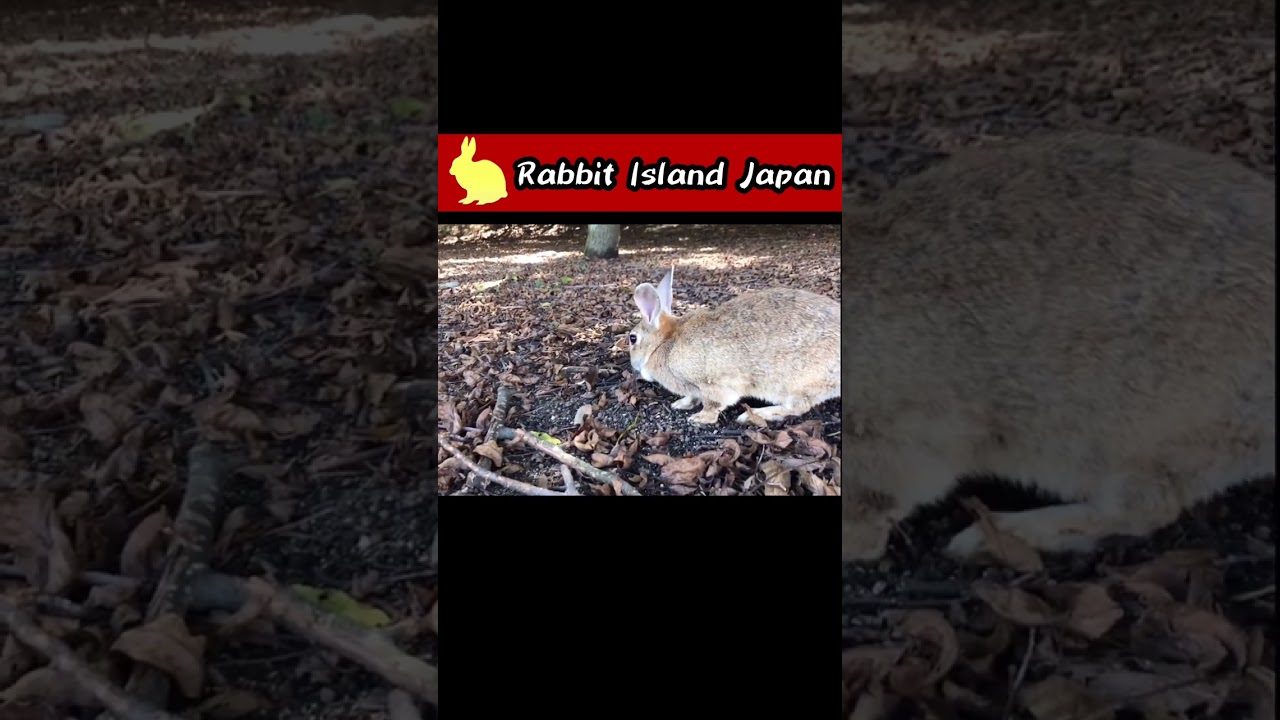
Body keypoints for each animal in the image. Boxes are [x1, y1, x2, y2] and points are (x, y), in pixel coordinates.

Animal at [628, 265, 840, 425]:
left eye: (632, 338)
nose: (633, 365)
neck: (664, 343)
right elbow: (692, 397)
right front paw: (681, 404)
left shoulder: (711, 384)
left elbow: (713, 404)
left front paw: (699, 418)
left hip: (795, 383)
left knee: (798, 406)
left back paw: (752, 415)